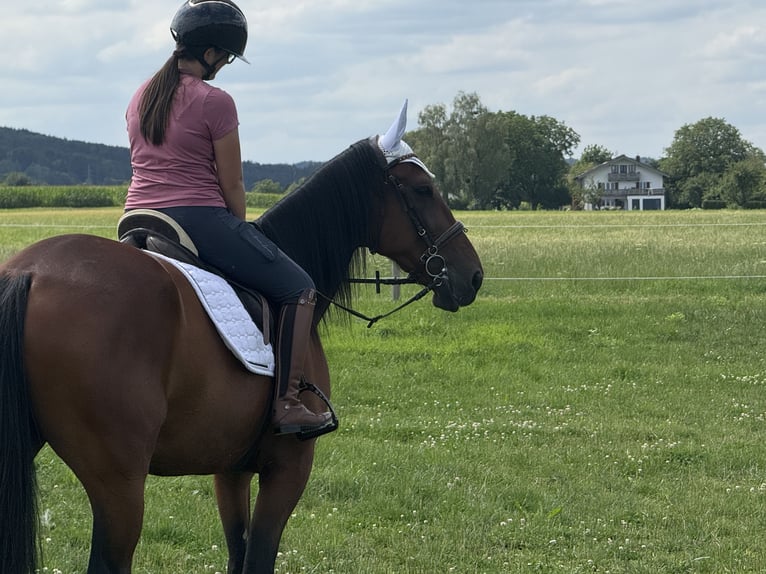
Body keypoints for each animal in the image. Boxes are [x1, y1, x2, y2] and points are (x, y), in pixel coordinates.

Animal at [0, 110, 483, 574]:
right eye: (422, 189)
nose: (473, 275)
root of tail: (30, 272)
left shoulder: (229, 469)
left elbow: (237, 554)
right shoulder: (288, 469)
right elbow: (258, 558)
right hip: (119, 484)